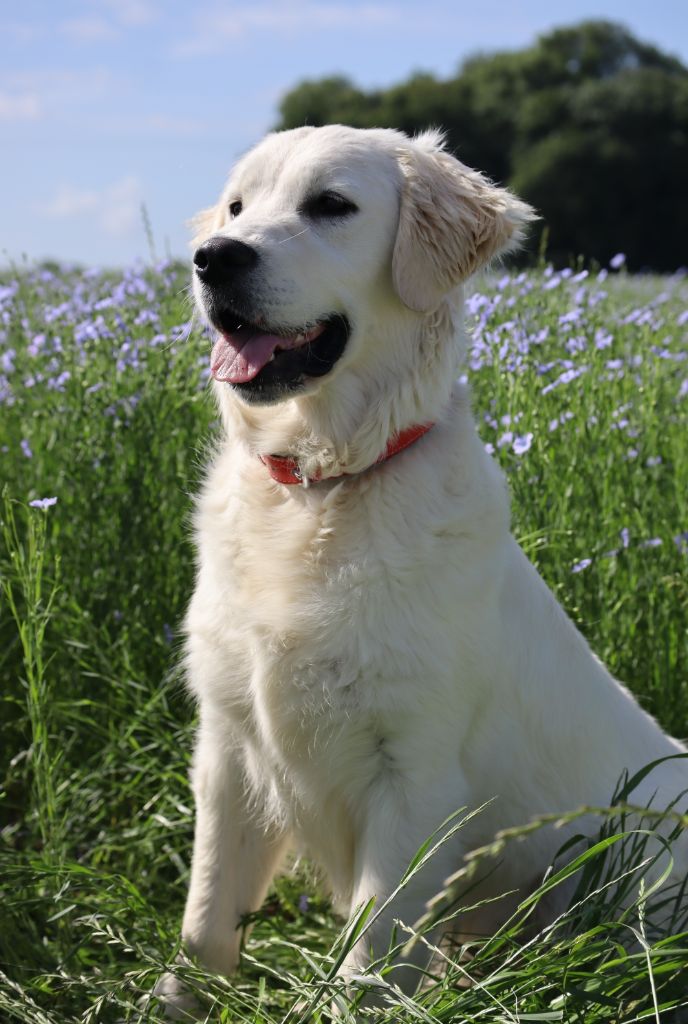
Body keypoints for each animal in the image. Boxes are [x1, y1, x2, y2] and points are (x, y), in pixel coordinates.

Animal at [157, 123, 688, 1011]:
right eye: (236, 206)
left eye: (330, 204)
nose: (213, 257)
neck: (321, 489)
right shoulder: (228, 748)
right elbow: (205, 916)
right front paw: (172, 1003)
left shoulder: (414, 774)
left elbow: (369, 948)